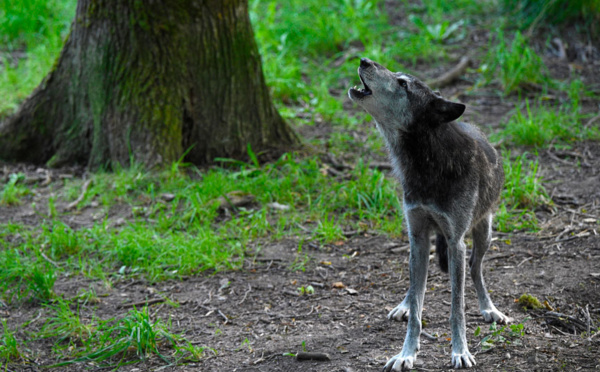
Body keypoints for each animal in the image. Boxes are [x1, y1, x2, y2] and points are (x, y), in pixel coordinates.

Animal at [346, 58, 510, 370]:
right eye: (397, 76)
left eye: (403, 84)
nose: (364, 60)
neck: (424, 162)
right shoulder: (418, 234)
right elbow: (418, 305)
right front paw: (406, 354)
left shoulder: (456, 242)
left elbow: (457, 309)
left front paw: (460, 351)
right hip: (418, 244)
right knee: (417, 287)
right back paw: (405, 305)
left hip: (484, 234)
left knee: (475, 268)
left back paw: (490, 308)